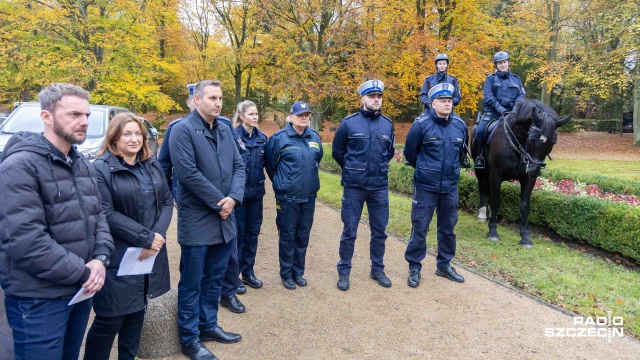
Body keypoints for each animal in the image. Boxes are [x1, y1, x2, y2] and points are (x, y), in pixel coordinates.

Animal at [470, 100, 568, 249]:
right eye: (532, 139)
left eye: (553, 142)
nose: (534, 169)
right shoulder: (495, 176)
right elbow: (495, 201)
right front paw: (493, 231)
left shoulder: (528, 180)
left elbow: (524, 206)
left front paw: (525, 237)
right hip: (480, 171)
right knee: (482, 187)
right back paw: (482, 213)